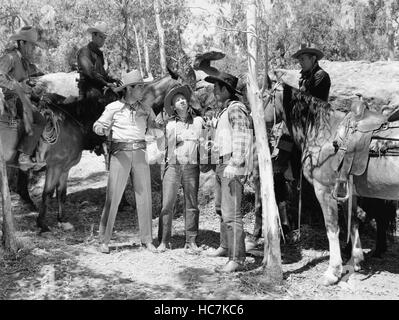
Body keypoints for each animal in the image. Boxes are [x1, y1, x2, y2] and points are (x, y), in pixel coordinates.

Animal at [266, 83, 399, 284]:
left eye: (263, 97)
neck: (324, 135)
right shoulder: (349, 192)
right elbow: (353, 223)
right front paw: (355, 261)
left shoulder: (324, 190)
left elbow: (332, 228)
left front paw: (333, 272)